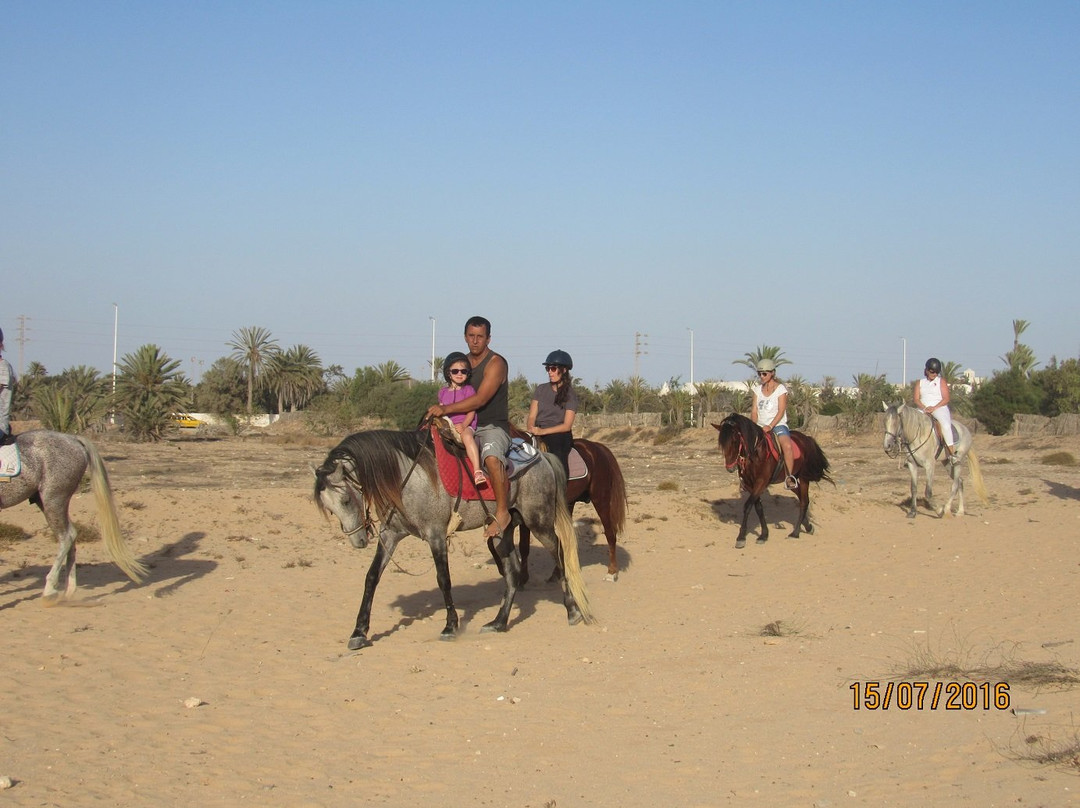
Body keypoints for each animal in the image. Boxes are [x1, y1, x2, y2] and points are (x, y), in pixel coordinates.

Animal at [0, 429, 147, 600]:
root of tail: (72, 438)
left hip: (53, 501)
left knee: (67, 536)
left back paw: (50, 589)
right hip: (47, 502)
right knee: (71, 535)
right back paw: (69, 590)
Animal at [313, 429, 596, 648]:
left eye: (346, 499)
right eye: (329, 508)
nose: (358, 540)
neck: (408, 477)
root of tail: (542, 457)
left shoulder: (436, 535)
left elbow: (443, 580)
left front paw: (450, 626)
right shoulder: (390, 535)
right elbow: (372, 578)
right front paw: (359, 632)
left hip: (538, 523)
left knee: (559, 556)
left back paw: (572, 610)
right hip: (500, 532)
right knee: (513, 572)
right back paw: (499, 622)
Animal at [509, 436, 630, 578]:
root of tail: (597, 447)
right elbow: (523, 546)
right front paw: (523, 577)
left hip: (600, 499)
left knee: (610, 533)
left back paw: (612, 571)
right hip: (569, 504)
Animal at [712, 416, 829, 548]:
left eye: (734, 441)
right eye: (722, 444)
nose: (730, 468)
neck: (756, 453)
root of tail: (807, 438)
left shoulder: (761, 482)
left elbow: (747, 506)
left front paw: (741, 537)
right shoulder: (750, 484)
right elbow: (758, 508)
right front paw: (764, 535)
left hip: (804, 478)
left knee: (804, 501)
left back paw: (795, 532)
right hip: (791, 480)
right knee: (800, 496)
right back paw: (808, 527)